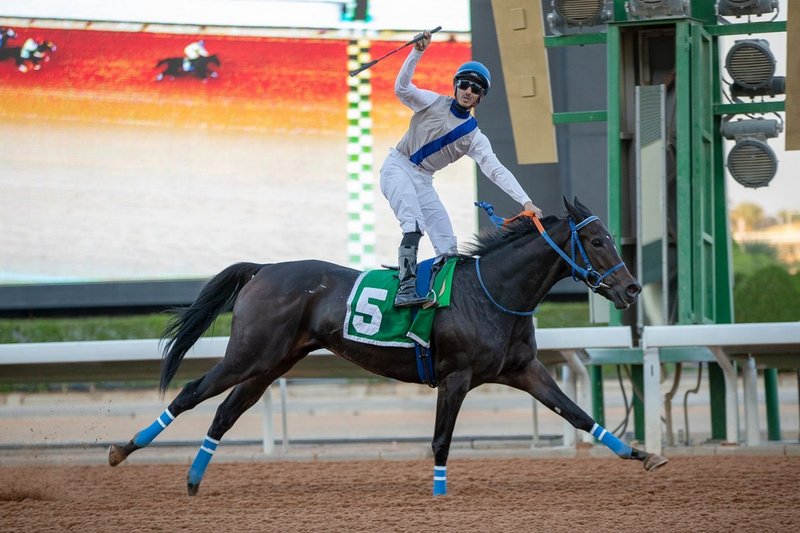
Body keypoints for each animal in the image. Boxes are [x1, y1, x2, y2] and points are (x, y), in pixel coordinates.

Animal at [109, 198, 664, 494]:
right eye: (597, 241)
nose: (633, 288)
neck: (493, 292)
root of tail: (263, 269)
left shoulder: (524, 369)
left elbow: (577, 414)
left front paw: (642, 454)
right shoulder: (456, 376)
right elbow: (440, 440)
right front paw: (439, 495)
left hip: (270, 364)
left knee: (224, 414)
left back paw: (193, 478)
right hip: (248, 355)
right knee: (189, 394)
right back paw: (122, 449)